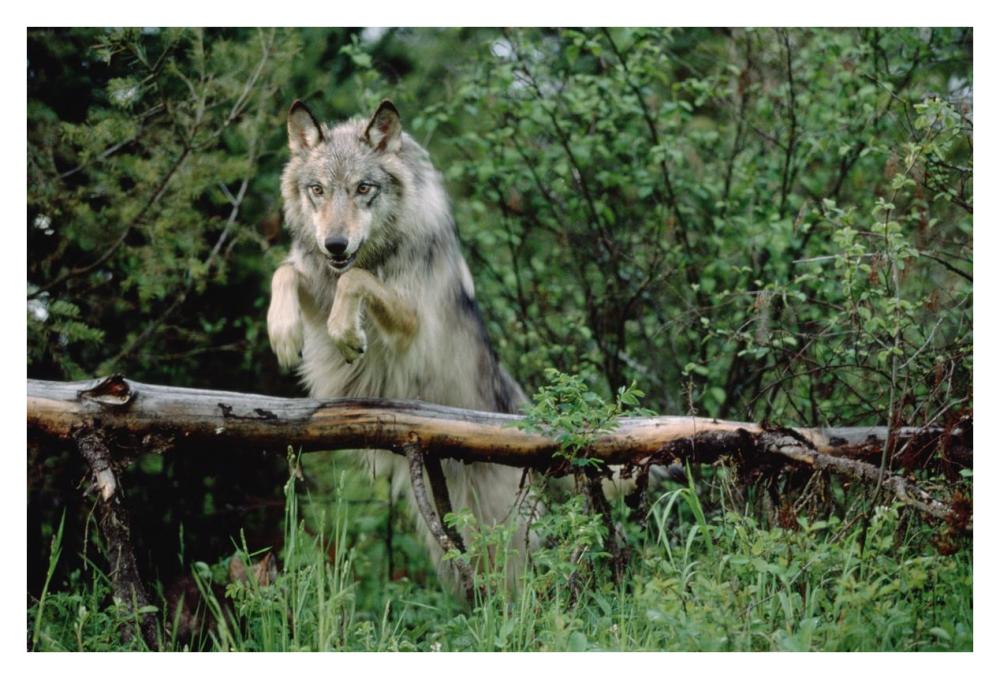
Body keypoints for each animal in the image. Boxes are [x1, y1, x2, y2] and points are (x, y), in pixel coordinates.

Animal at [266, 98, 532, 584]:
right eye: (317, 190)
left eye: (363, 188)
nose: (335, 244)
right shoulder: (317, 281)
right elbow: (287, 271)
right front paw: (284, 332)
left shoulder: (411, 324)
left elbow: (354, 279)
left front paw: (348, 332)